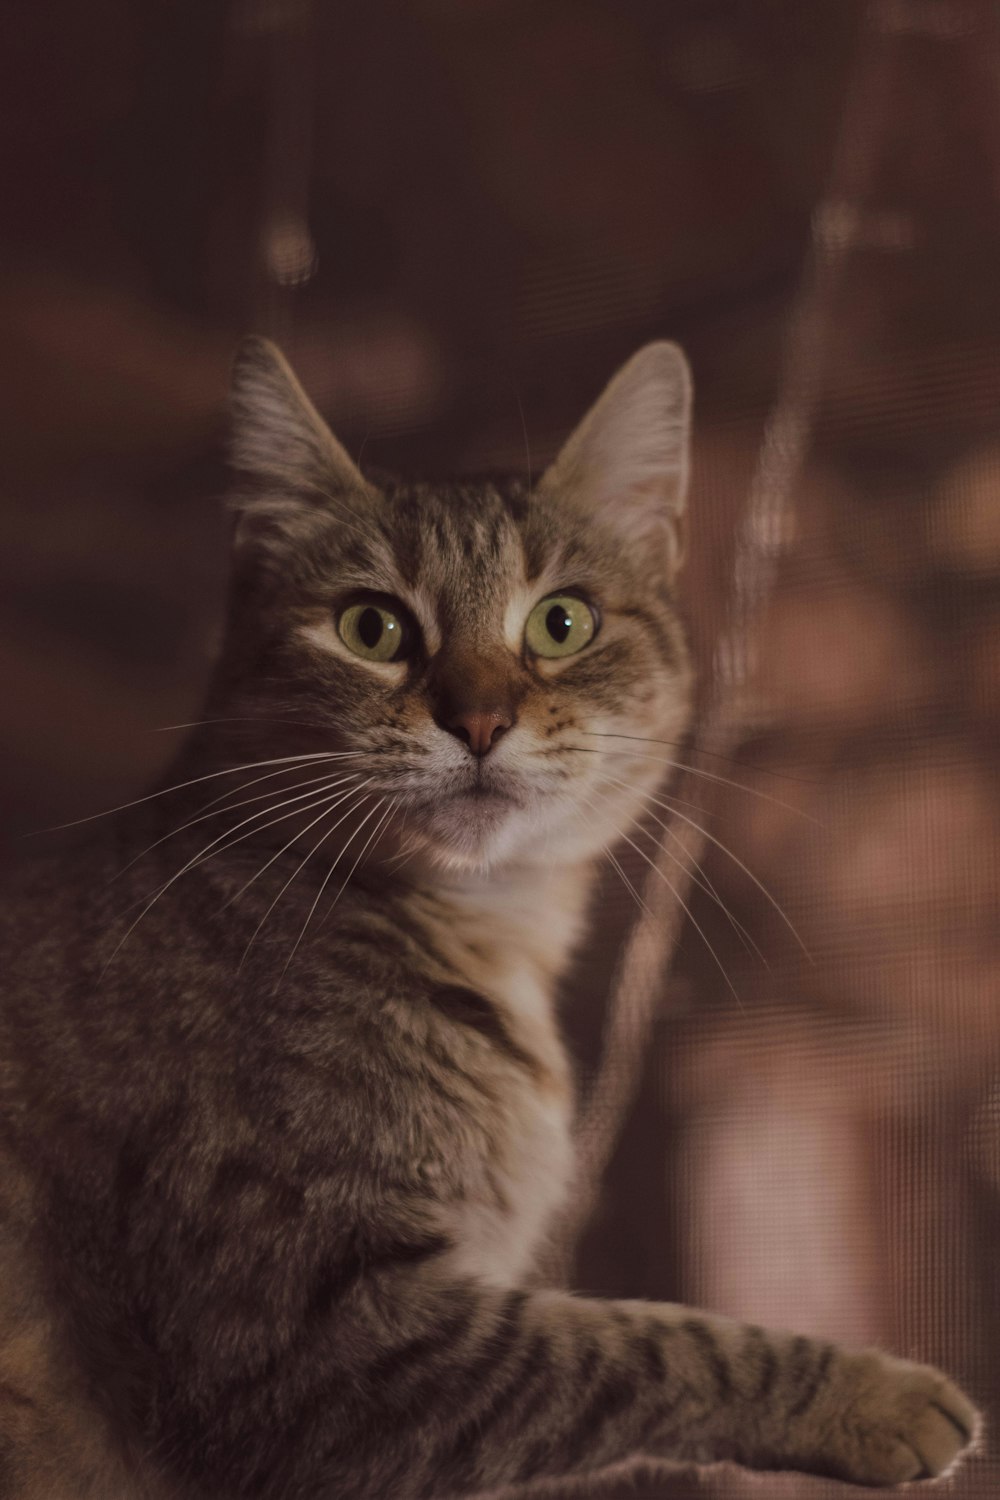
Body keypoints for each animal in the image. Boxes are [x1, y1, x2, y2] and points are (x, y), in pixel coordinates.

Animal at [0, 340, 983, 1500]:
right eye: (371, 626)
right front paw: (873, 1392)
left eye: (562, 622)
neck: (483, 933)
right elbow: (643, 1341)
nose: (477, 719)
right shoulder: (314, 1343)